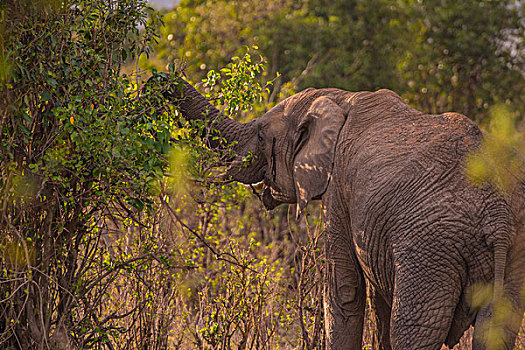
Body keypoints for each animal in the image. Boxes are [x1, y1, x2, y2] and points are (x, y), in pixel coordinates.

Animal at [146, 74, 524, 350]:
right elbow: (376, 299)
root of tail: (497, 212)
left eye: (261, 136)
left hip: (430, 248)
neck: (339, 98)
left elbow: (344, 291)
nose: (156, 80)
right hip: (515, 247)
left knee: (414, 330)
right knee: (497, 330)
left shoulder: (340, 190)